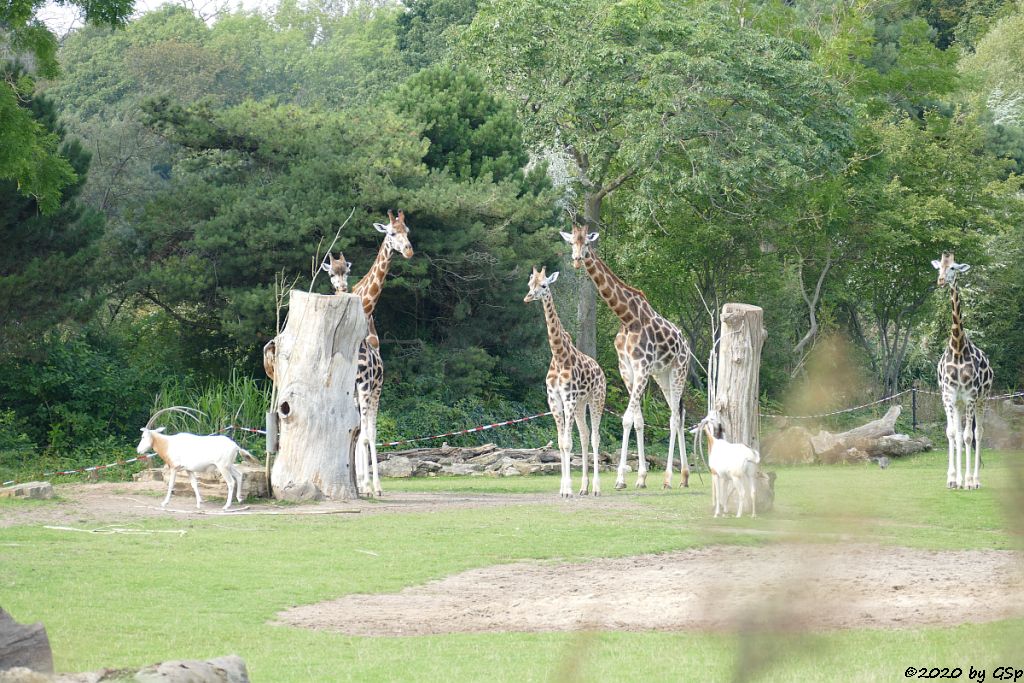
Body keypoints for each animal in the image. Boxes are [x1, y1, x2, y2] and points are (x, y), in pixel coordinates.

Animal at [524, 266, 602, 497]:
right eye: (529, 284)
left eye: (544, 285)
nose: (527, 297)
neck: (558, 357)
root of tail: (601, 370)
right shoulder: (554, 400)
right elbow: (560, 444)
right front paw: (564, 488)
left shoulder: (568, 399)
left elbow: (567, 443)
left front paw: (567, 490)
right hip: (581, 404)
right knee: (585, 435)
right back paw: (584, 488)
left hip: (596, 399)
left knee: (595, 437)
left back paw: (596, 488)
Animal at [561, 225, 696, 491]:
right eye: (572, 242)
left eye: (587, 242)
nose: (577, 259)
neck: (627, 317)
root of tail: (686, 346)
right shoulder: (627, 370)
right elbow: (638, 420)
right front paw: (640, 477)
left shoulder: (641, 367)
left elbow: (626, 419)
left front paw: (621, 479)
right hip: (662, 376)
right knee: (678, 415)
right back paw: (684, 476)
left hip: (678, 371)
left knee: (674, 417)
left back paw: (669, 478)